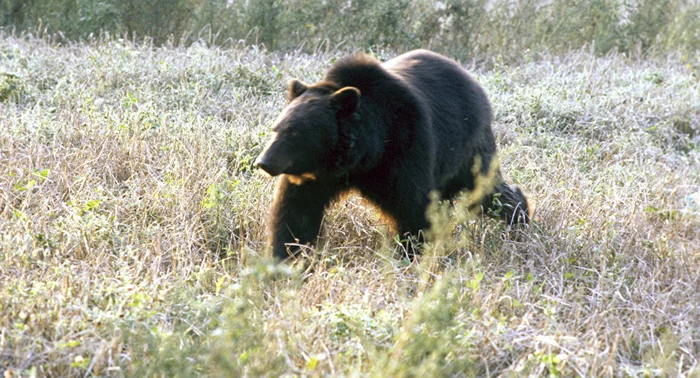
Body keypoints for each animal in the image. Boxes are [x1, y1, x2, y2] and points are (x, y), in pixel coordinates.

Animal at [254, 49, 528, 260]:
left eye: (294, 133)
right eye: (276, 128)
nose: (263, 162)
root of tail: (473, 81)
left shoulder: (404, 148)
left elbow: (413, 208)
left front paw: (410, 253)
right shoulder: (316, 177)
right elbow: (296, 213)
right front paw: (286, 254)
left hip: (466, 147)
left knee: (486, 188)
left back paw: (520, 215)